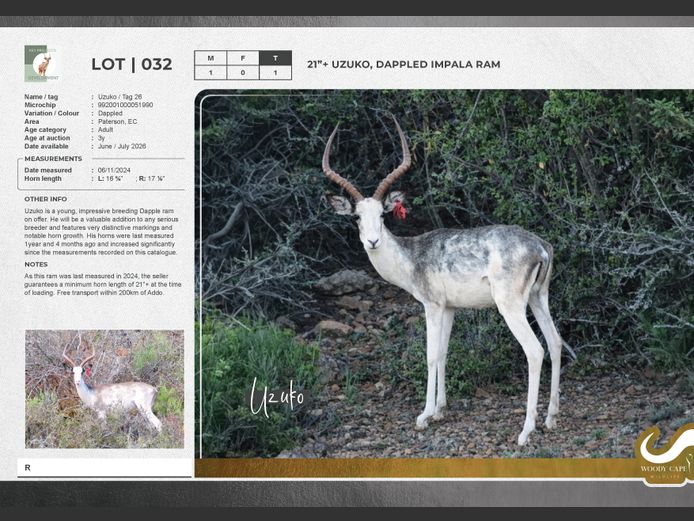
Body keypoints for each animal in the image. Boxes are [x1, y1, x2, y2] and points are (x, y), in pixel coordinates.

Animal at [323, 117, 564, 445]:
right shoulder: (450, 308)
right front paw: (439, 409)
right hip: (539, 297)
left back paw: (526, 430)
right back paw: (551, 418)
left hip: (511, 306)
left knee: (535, 350)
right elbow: (444, 353)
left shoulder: (432, 305)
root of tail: (541, 247)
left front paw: (424, 416)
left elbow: (430, 355)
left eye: (382, 215)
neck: (412, 256)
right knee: (555, 342)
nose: (372, 241)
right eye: (357, 216)